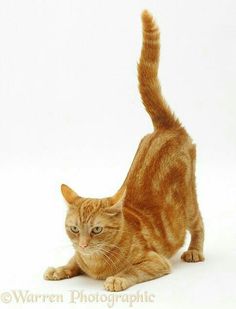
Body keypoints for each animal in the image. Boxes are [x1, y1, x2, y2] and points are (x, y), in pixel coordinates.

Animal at [44, 9, 205, 288]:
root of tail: (165, 127)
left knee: (198, 224)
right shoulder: (79, 257)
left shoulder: (156, 261)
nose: (83, 244)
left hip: (189, 202)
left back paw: (195, 250)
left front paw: (117, 279)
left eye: (96, 230)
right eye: (74, 229)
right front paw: (60, 269)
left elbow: (132, 270)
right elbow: (73, 262)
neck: (96, 263)